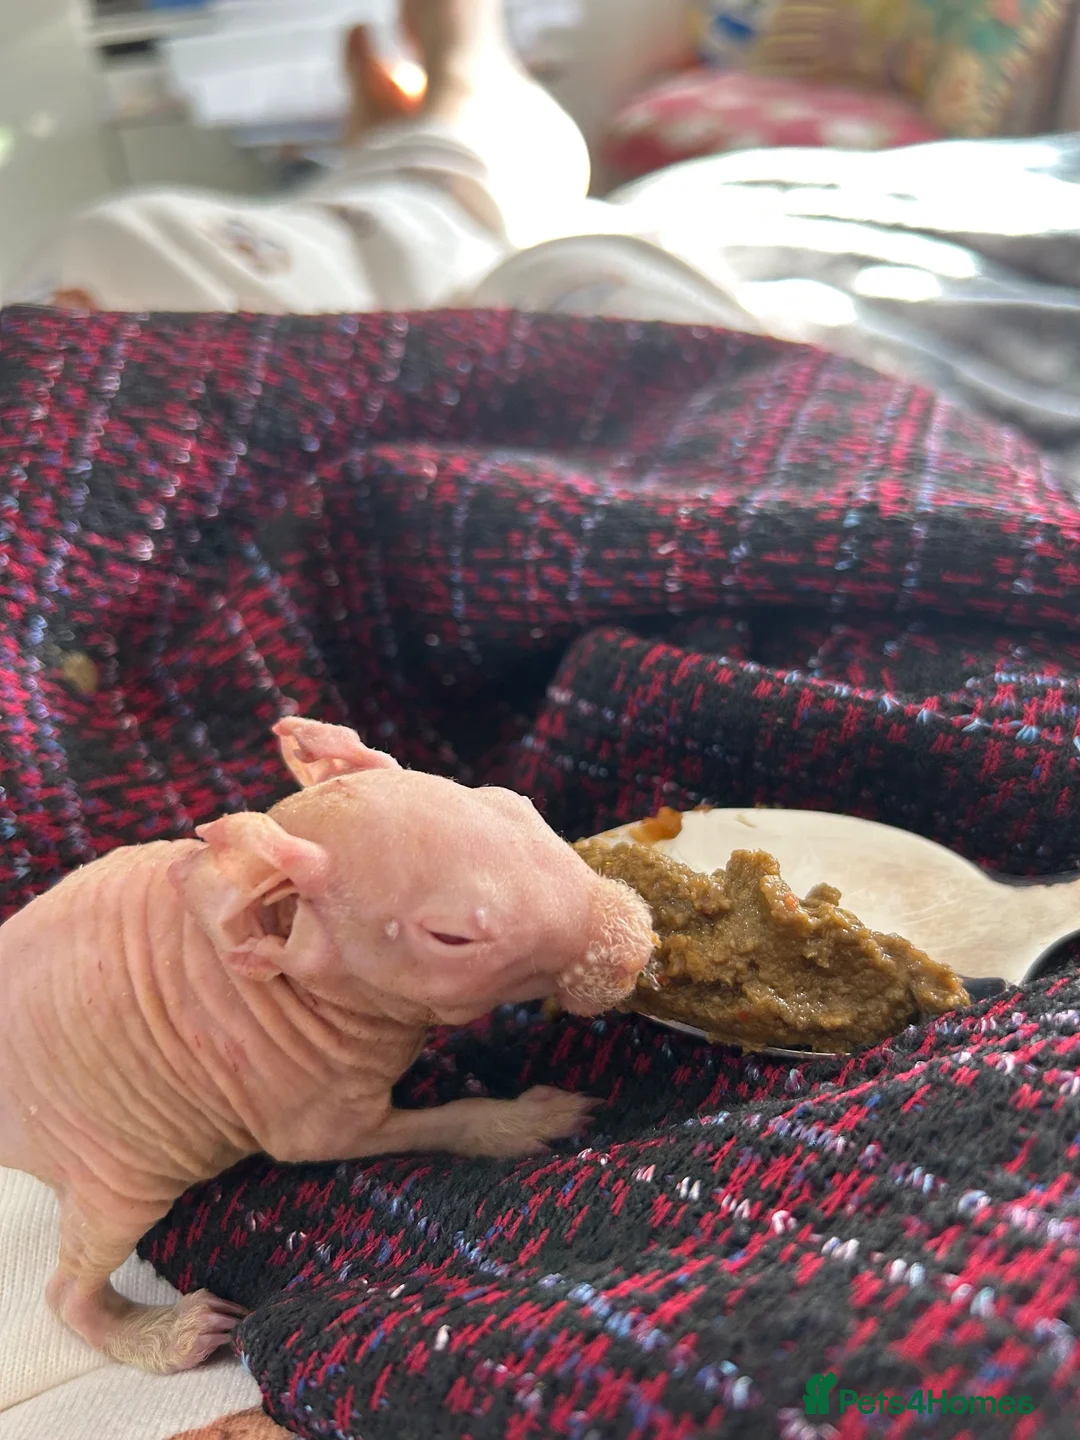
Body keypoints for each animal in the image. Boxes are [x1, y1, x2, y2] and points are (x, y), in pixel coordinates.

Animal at [0, 717, 656, 1374]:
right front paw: (524, 1120)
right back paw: (164, 1333)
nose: (634, 946)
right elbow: (369, 1134)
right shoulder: (301, 1098)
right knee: (70, 1287)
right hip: (109, 1162)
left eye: (518, 804)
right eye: (451, 938)